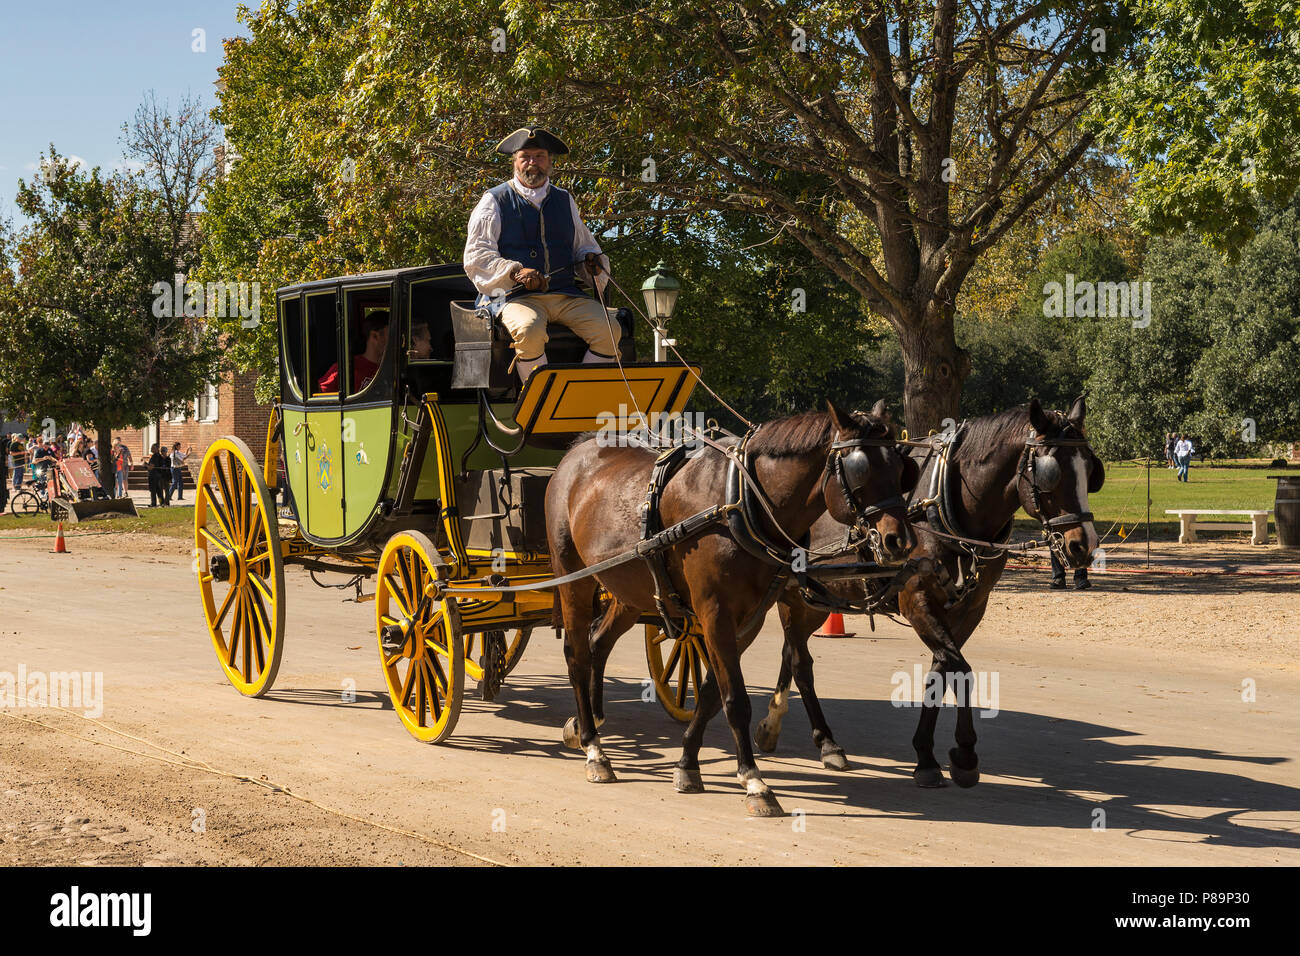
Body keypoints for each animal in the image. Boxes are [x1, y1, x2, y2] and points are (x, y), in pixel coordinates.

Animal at [545, 401, 919, 816]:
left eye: (901, 469)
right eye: (860, 471)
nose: (900, 541)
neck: (742, 502)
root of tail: (576, 452)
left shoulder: (748, 618)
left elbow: (712, 692)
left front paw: (687, 764)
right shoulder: (715, 613)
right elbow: (736, 699)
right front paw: (754, 781)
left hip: (629, 588)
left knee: (598, 641)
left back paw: (589, 721)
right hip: (573, 577)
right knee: (577, 654)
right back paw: (593, 748)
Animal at [755, 397, 1104, 788]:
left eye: (1090, 469)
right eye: (1050, 473)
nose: (1084, 546)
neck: (946, 506)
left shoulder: (970, 608)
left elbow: (942, 671)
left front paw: (927, 754)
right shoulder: (917, 600)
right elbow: (961, 668)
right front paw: (964, 754)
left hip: (814, 599)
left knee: (790, 652)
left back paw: (773, 725)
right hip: (791, 597)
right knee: (800, 663)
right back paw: (825, 742)